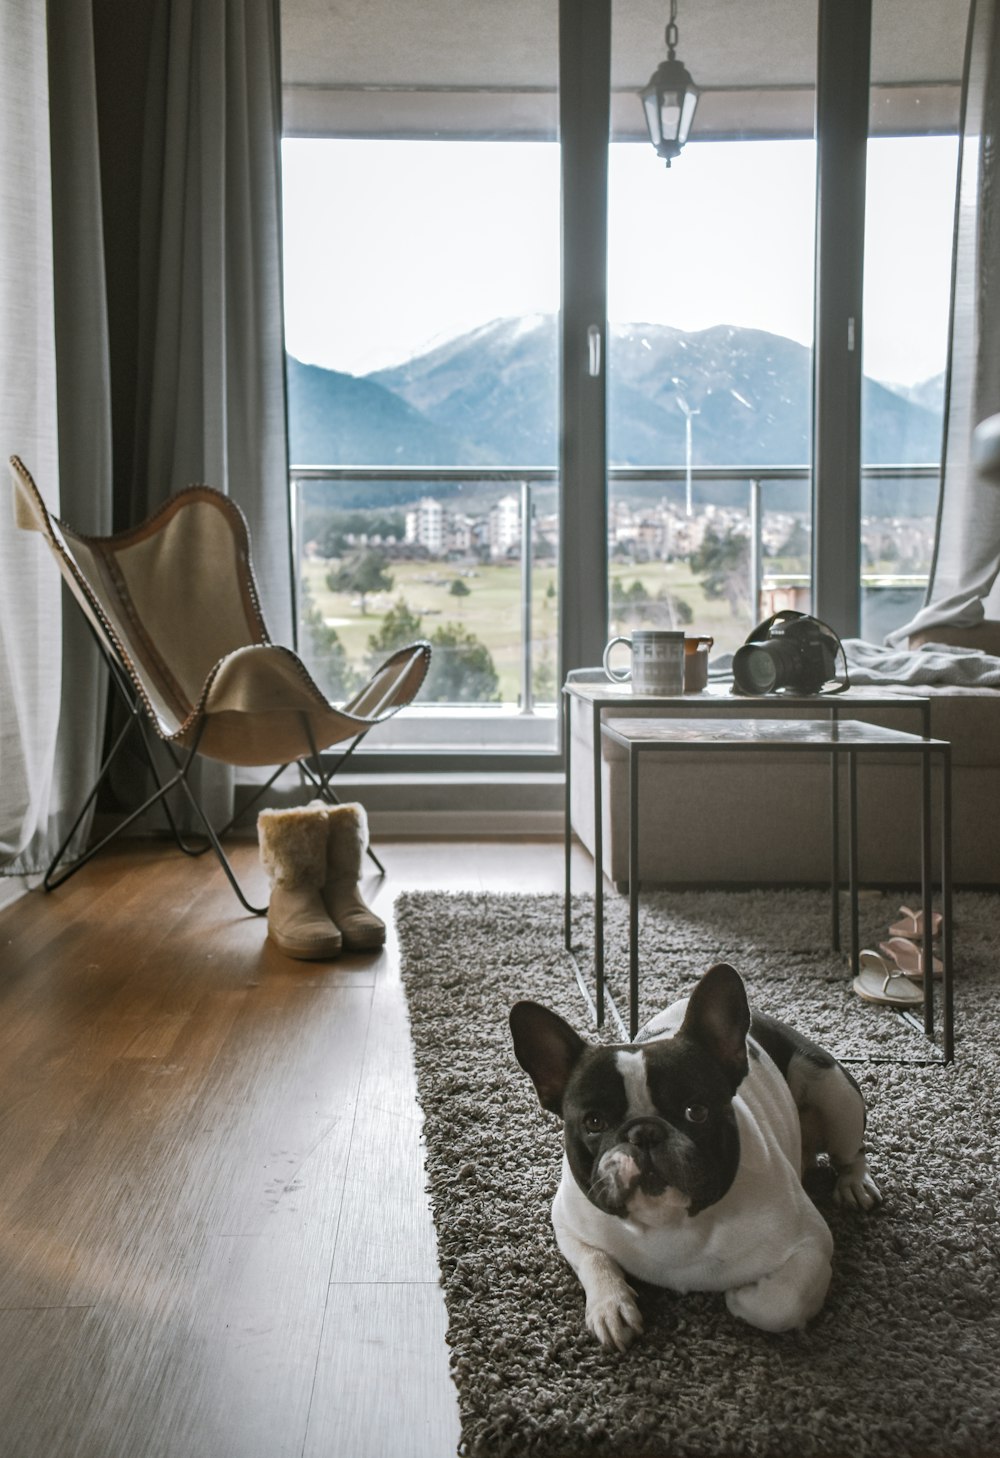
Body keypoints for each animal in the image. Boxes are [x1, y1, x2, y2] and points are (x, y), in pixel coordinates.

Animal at [513, 962, 880, 1347]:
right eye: (594, 1122)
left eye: (696, 1112)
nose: (644, 1131)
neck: (668, 1223)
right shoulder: (568, 1221)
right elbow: (593, 1259)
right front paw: (611, 1306)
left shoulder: (810, 1244)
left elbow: (781, 1301)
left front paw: (740, 1297)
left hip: (835, 1094)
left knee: (850, 1152)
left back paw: (855, 1185)